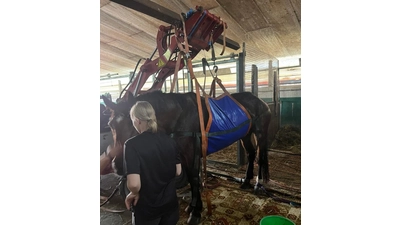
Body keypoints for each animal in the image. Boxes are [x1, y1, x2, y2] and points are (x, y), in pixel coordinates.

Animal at [101, 90, 274, 224]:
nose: (117, 165)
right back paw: (246, 182)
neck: (179, 116)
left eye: (133, 124)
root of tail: (261, 102)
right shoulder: (182, 156)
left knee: (260, 157)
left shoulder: (192, 155)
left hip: (260, 133)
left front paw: (196, 212)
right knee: (251, 154)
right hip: (246, 135)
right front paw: (193, 206)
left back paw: (257, 185)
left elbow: (194, 179)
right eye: (110, 125)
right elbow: (191, 180)